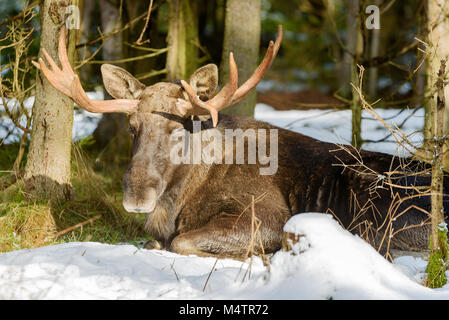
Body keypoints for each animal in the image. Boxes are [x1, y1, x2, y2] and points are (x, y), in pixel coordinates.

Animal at [33, 25, 446, 260]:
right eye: (132, 126)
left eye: (180, 128)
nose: (136, 194)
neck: (177, 200)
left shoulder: (268, 215)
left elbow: (180, 242)